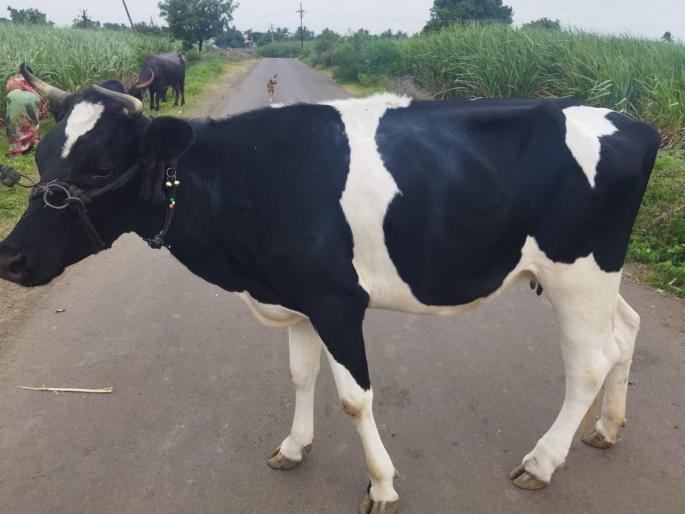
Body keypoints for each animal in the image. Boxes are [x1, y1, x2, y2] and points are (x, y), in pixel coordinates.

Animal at [0, 64, 660, 514]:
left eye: (100, 167)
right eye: (42, 160)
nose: (11, 257)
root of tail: (630, 121)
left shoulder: (337, 302)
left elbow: (354, 397)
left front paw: (382, 485)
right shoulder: (295, 298)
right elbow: (300, 375)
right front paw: (293, 448)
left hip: (577, 272)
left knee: (589, 362)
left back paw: (542, 463)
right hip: (592, 274)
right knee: (626, 332)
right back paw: (608, 429)